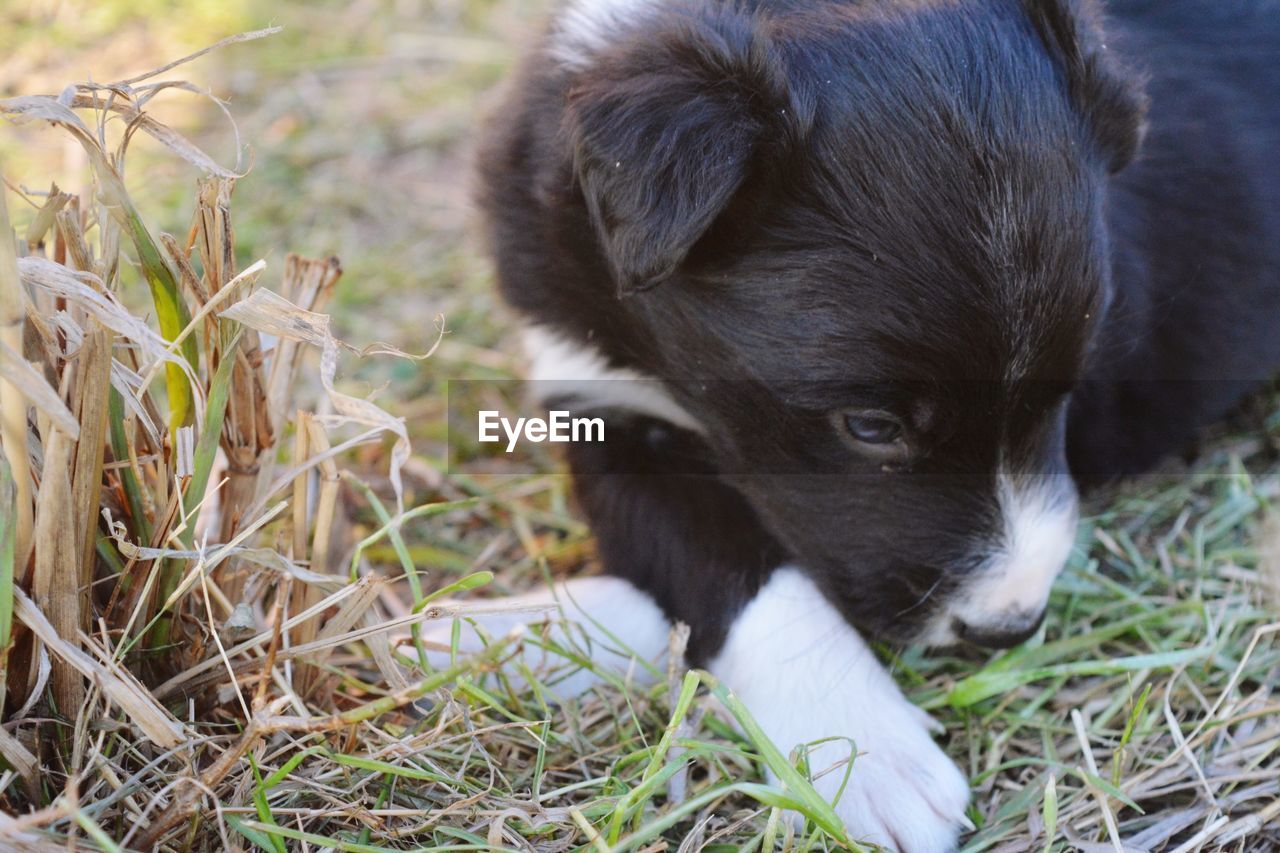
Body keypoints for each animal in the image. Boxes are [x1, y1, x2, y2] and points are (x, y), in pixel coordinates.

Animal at [435, 3, 1280, 845]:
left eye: (1068, 385)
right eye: (871, 426)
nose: (1008, 625)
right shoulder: (599, 401)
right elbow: (723, 559)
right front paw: (862, 747)